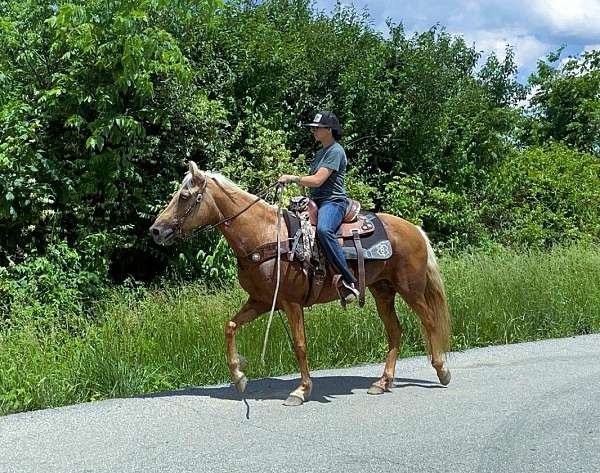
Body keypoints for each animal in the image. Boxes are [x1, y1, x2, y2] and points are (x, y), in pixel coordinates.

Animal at [150, 162, 450, 406]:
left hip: (411, 290)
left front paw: (301, 390)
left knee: (429, 321)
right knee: (395, 330)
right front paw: (239, 375)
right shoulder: (260, 301)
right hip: (383, 291)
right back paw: (383, 382)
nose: (156, 230)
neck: (265, 236)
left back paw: (442, 370)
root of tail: (414, 229)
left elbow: (300, 344)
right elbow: (230, 326)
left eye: (184, 196)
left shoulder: (291, 302)